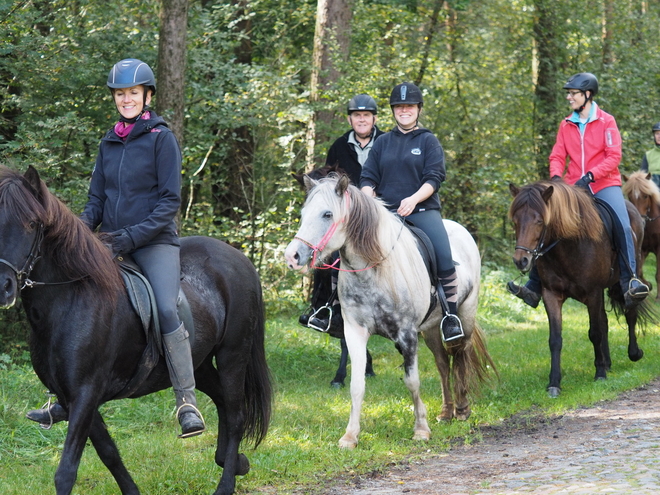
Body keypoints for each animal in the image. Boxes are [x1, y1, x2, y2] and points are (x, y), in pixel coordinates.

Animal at [0, 167, 270, 495]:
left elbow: (66, 472)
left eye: (31, 224)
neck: (70, 300)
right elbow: (109, 453)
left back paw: (225, 482)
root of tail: (240, 259)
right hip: (201, 362)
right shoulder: (72, 398)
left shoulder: (85, 393)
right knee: (220, 402)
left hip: (233, 354)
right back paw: (233, 459)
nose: (3, 287)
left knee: (235, 414)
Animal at [284, 176, 496, 452]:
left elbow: (412, 381)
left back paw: (461, 409)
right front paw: (350, 436)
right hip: (430, 329)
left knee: (460, 355)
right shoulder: (355, 332)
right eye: (303, 214)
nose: (292, 256)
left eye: (327, 214)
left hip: (465, 316)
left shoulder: (407, 335)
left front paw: (421, 430)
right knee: (442, 363)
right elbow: (357, 385)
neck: (375, 270)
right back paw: (446, 411)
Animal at [508, 182, 648, 400]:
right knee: (605, 321)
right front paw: (554, 383)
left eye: (540, 220)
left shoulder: (593, 292)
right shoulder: (551, 295)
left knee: (630, 312)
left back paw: (633, 353)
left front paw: (599, 374)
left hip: (627, 279)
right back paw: (607, 362)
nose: (521, 260)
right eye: (515, 220)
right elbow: (555, 339)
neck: (569, 244)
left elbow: (595, 333)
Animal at [620, 172, 660, 300]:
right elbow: (640, 271)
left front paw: (658, 297)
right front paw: (648, 285)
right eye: (630, 196)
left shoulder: (659, 250)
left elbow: (658, 274)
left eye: (646, 196)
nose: (641, 222)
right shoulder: (642, 250)